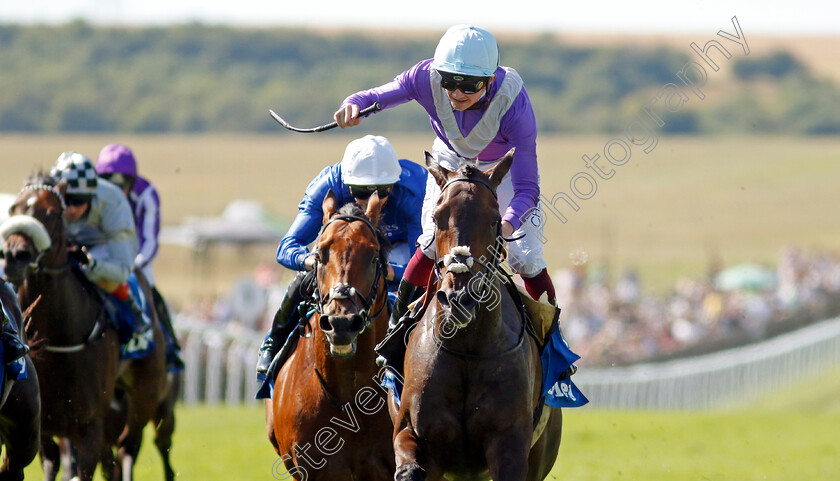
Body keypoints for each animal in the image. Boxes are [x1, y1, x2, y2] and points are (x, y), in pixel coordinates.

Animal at [388, 152, 564, 480]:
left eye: (494, 220)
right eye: (436, 218)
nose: (459, 298)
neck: (467, 348)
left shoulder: (509, 443)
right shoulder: (414, 433)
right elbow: (409, 468)